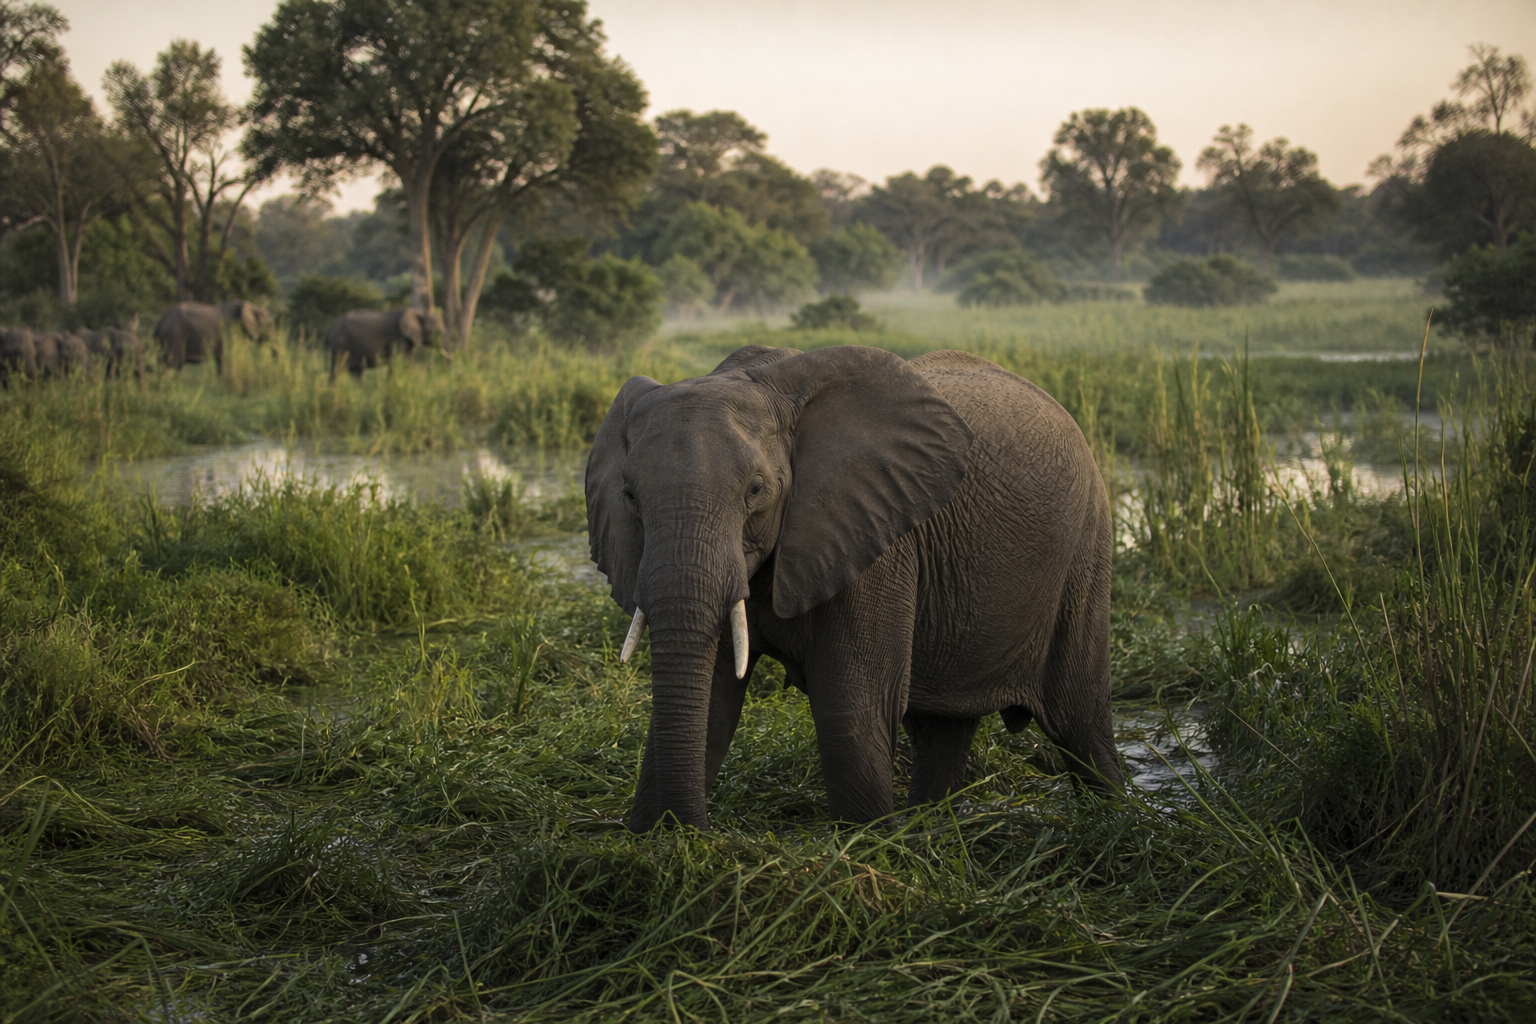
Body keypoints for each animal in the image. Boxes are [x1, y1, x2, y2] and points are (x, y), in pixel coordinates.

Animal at [587, 344, 1122, 833]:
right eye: (630, 496)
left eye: (756, 491)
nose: (695, 831)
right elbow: (714, 708)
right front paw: (653, 842)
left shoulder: (877, 542)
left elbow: (851, 712)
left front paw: (863, 845)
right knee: (943, 731)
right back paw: (929, 831)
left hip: (1085, 552)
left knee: (1080, 723)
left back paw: (1117, 822)